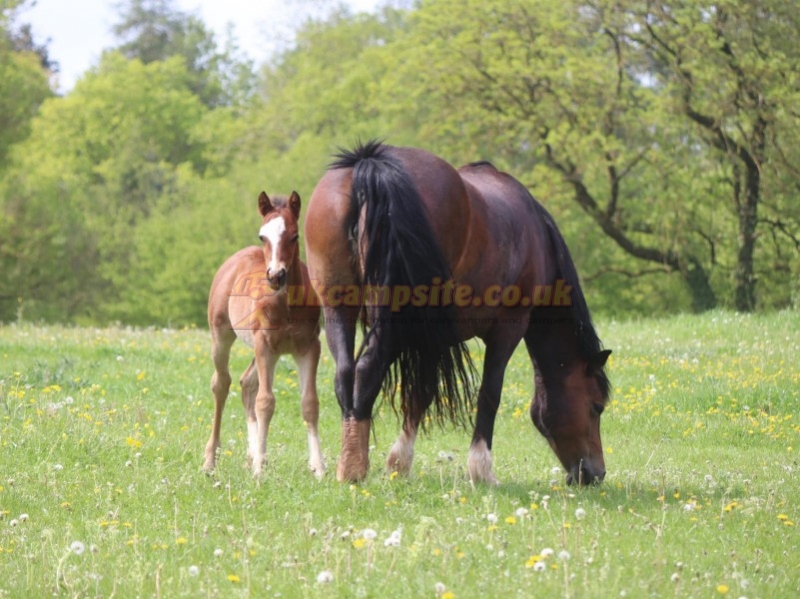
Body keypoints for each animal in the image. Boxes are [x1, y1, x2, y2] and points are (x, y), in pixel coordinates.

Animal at [203, 191, 324, 478]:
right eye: (263, 236)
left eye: (294, 235)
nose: (275, 276)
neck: (288, 303)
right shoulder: (264, 345)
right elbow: (265, 402)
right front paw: (259, 471)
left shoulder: (309, 347)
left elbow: (310, 403)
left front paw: (319, 468)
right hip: (222, 336)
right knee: (221, 384)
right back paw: (211, 459)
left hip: (270, 352)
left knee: (246, 383)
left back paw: (252, 455)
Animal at [304, 142, 608, 488]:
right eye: (597, 406)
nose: (595, 473)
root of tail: (369, 166)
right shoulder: (507, 328)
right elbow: (489, 393)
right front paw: (481, 470)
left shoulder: (433, 336)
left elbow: (421, 393)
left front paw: (399, 463)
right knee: (367, 370)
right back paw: (355, 468)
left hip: (338, 309)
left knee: (345, 374)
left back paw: (347, 462)